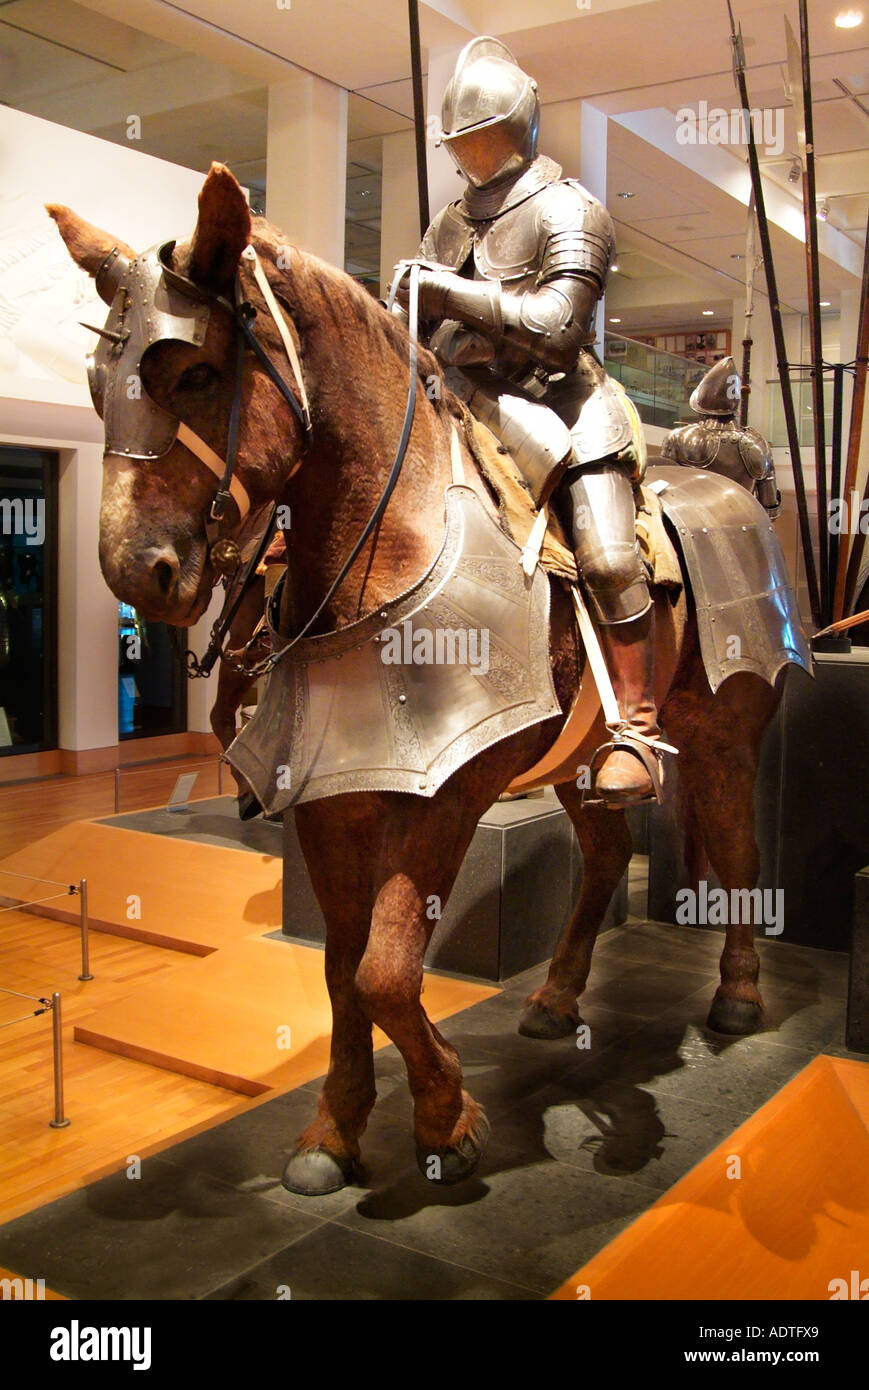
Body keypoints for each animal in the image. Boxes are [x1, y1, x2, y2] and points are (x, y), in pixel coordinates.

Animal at [50, 159, 789, 1184]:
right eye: (96, 382)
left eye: (193, 372)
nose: (135, 570)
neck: (390, 541)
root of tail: (738, 487)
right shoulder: (330, 796)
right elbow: (340, 968)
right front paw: (334, 1131)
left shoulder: (447, 791)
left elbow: (388, 972)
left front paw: (445, 1119)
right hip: (577, 760)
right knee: (604, 856)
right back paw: (554, 1001)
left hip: (727, 730)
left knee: (739, 845)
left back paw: (738, 997)